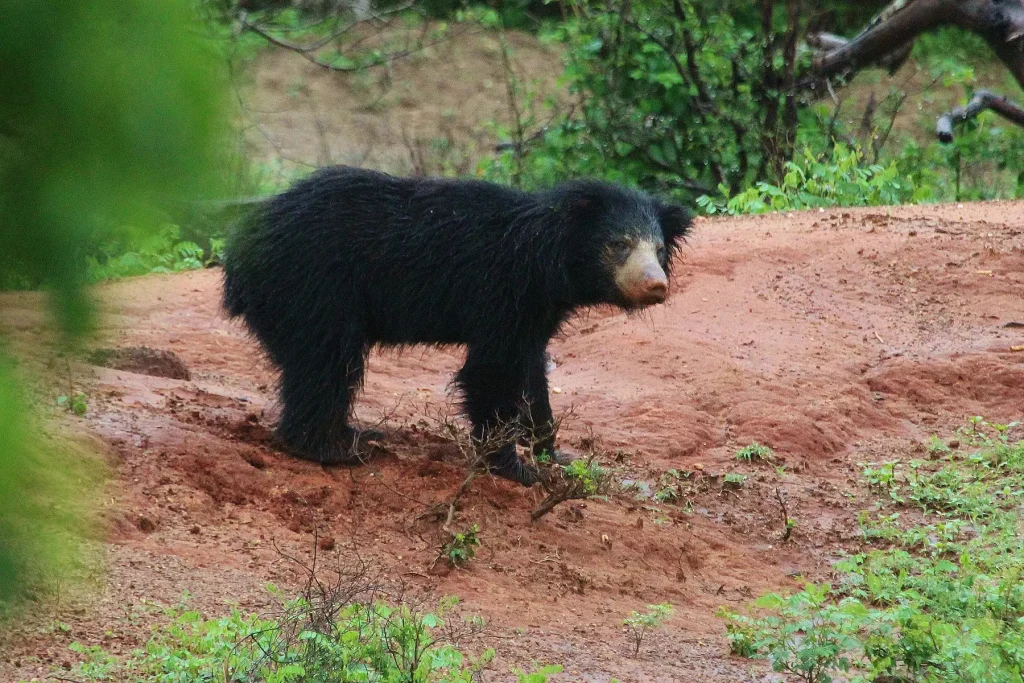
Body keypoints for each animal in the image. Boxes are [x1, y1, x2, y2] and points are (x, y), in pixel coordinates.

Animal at [222, 166, 691, 486]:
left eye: (658, 249)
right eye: (619, 245)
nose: (656, 286)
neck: (550, 263)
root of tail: (237, 261)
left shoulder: (535, 312)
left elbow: (532, 372)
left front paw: (550, 451)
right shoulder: (504, 294)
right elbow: (492, 372)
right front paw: (514, 466)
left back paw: (354, 433)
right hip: (314, 287)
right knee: (324, 362)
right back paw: (332, 449)